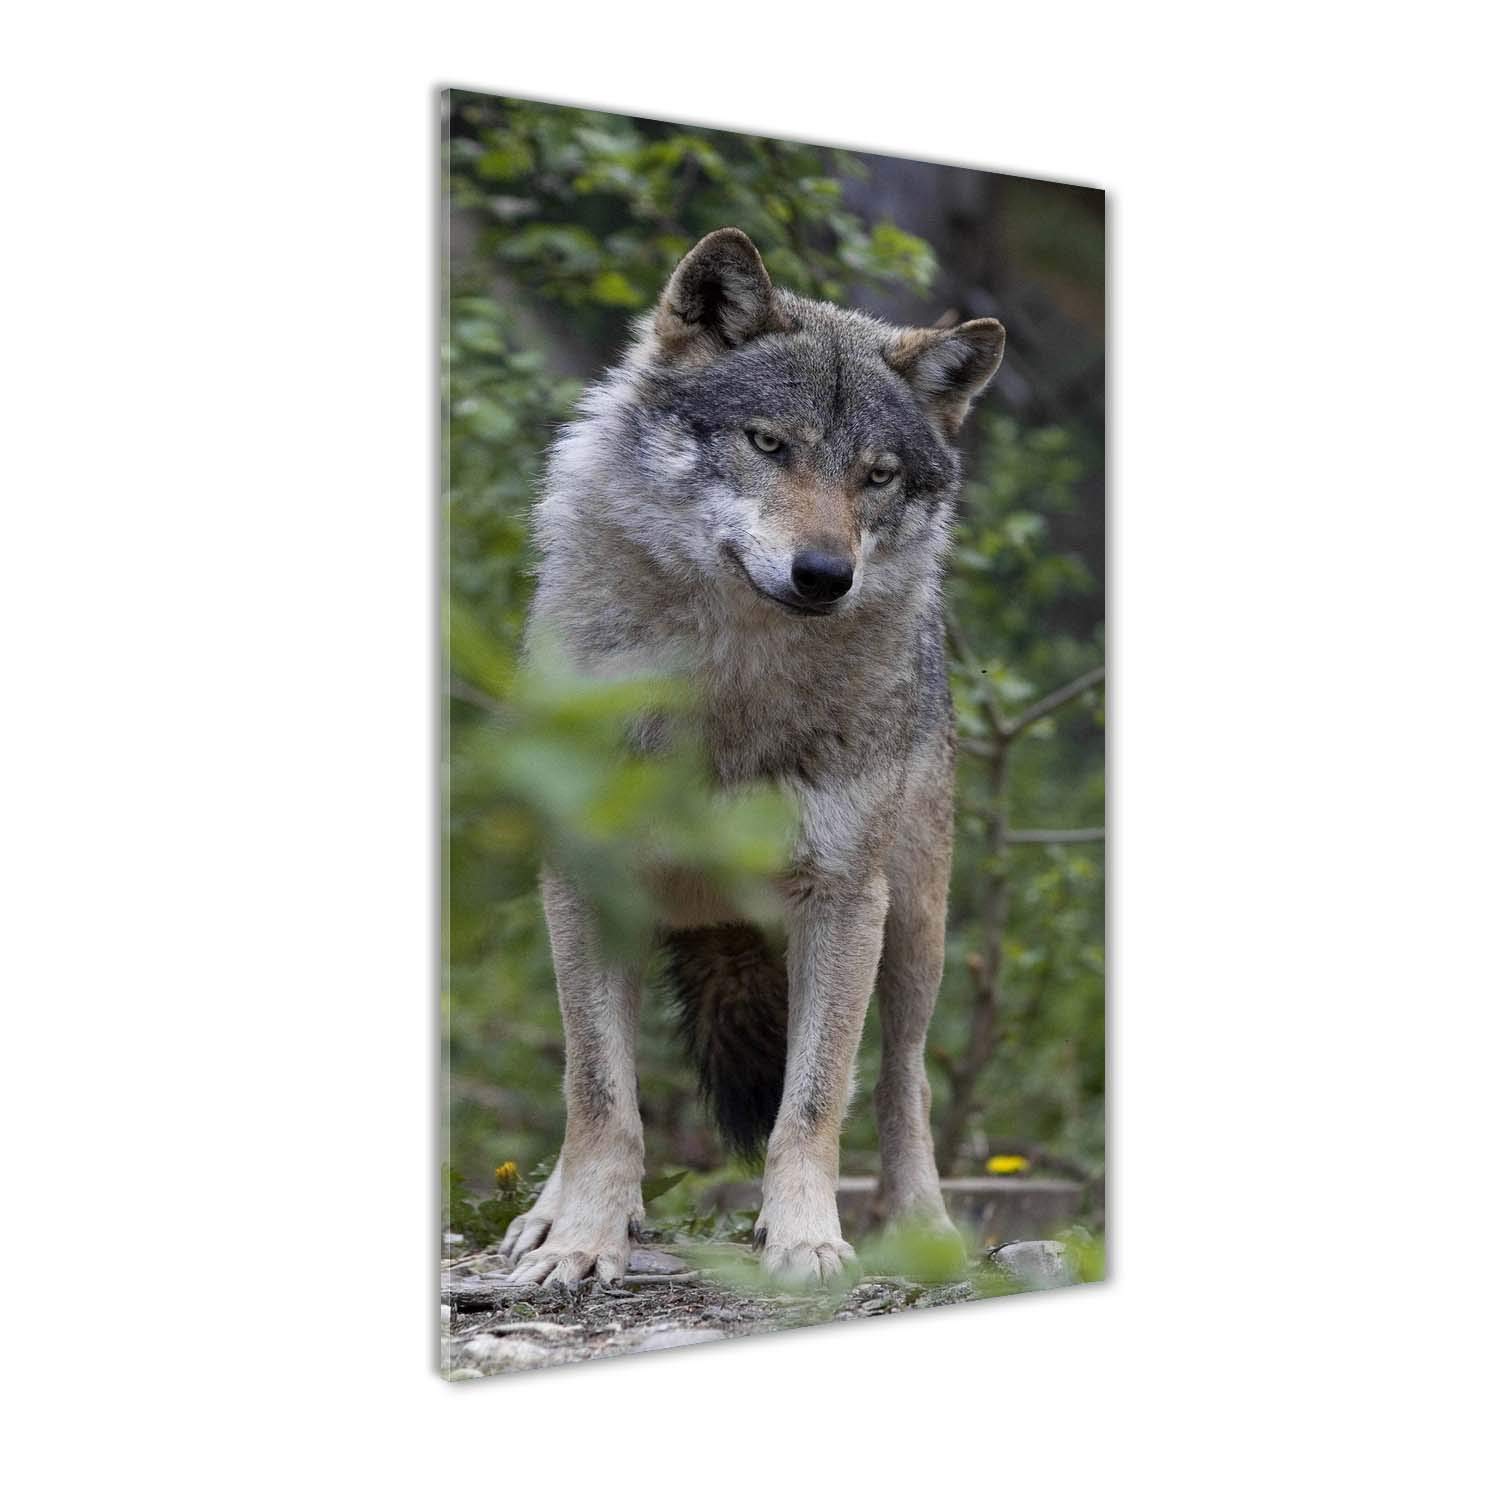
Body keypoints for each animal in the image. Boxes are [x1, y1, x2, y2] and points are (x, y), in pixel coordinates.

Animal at [498, 228, 1004, 1288]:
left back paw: (924, 1226)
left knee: (903, 1082)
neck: (726, 691)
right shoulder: (586, 878)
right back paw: (546, 1216)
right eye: (769, 443)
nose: (824, 575)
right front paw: (583, 1242)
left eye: (877, 475)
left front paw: (807, 1240)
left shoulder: (843, 900)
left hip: (916, 926)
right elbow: (597, 1095)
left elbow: (812, 1105)